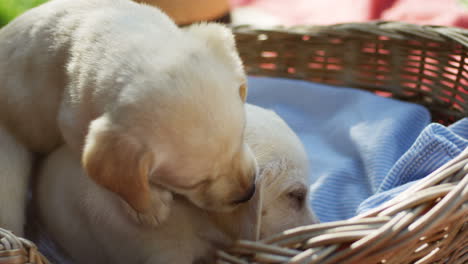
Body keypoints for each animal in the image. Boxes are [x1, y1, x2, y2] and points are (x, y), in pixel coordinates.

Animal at [0, 0, 256, 235]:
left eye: (242, 136)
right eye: (195, 183)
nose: (249, 192)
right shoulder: (74, 124)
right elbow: (115, 183)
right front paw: (148, 205)